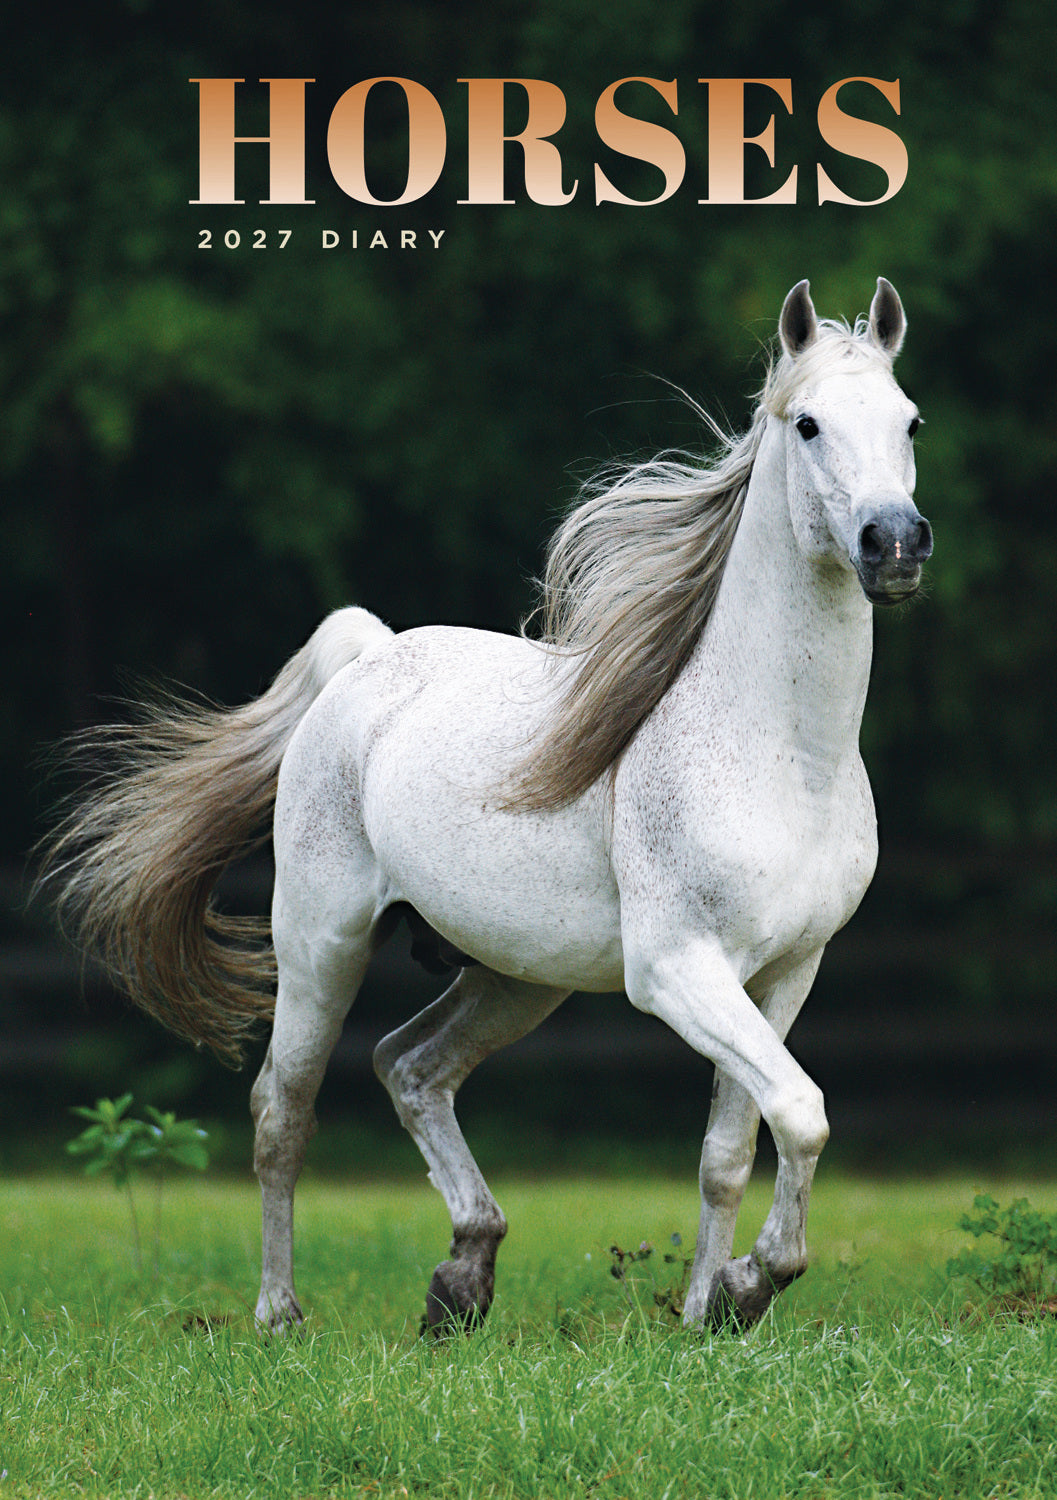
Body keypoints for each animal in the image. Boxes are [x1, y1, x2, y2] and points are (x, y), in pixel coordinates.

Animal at [40, 278, 932, 1333]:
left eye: (909, 420)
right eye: (806, 424)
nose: (894, 542)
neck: (782, 754)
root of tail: (370, 656)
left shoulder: (787, 973)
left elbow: (731, 1151)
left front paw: (706, 1315)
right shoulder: (677, 971)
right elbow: (801, 1113)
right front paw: (749, 1287)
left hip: (516, 975)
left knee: (409, 1066)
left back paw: (463, 1274)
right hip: (321, 944)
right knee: (281, 1112)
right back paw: (279, 1316)